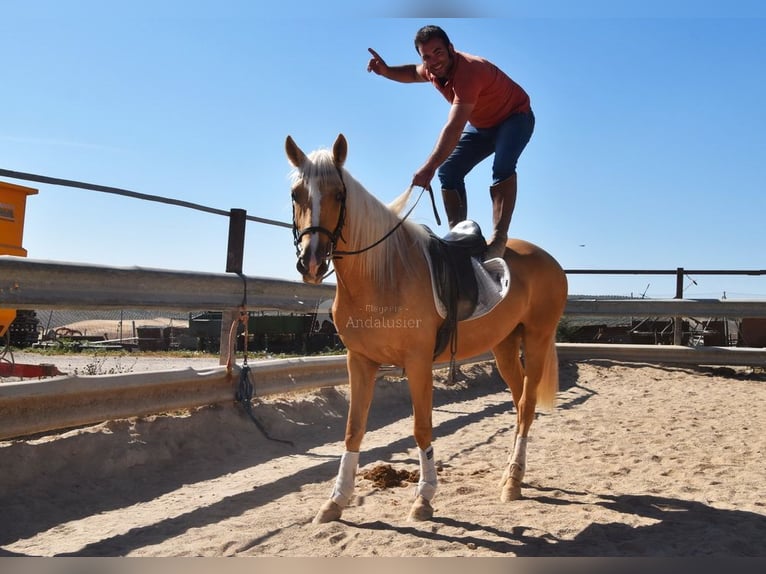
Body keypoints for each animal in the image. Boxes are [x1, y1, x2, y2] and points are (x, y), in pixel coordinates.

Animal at [288, 133, 568, 524]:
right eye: (296, 193)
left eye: (339, 194)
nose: (311, 262)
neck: (384, 272)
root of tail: (550, 261)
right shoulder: (359, 361)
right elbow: (353, 429)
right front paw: (336, 501)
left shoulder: (419, 363)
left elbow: (422, 428)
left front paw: (424, 498)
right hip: (504, 345)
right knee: (518, 401)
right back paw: (513, 473)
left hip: (538, 338)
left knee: (527, 405)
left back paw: (513, 481)